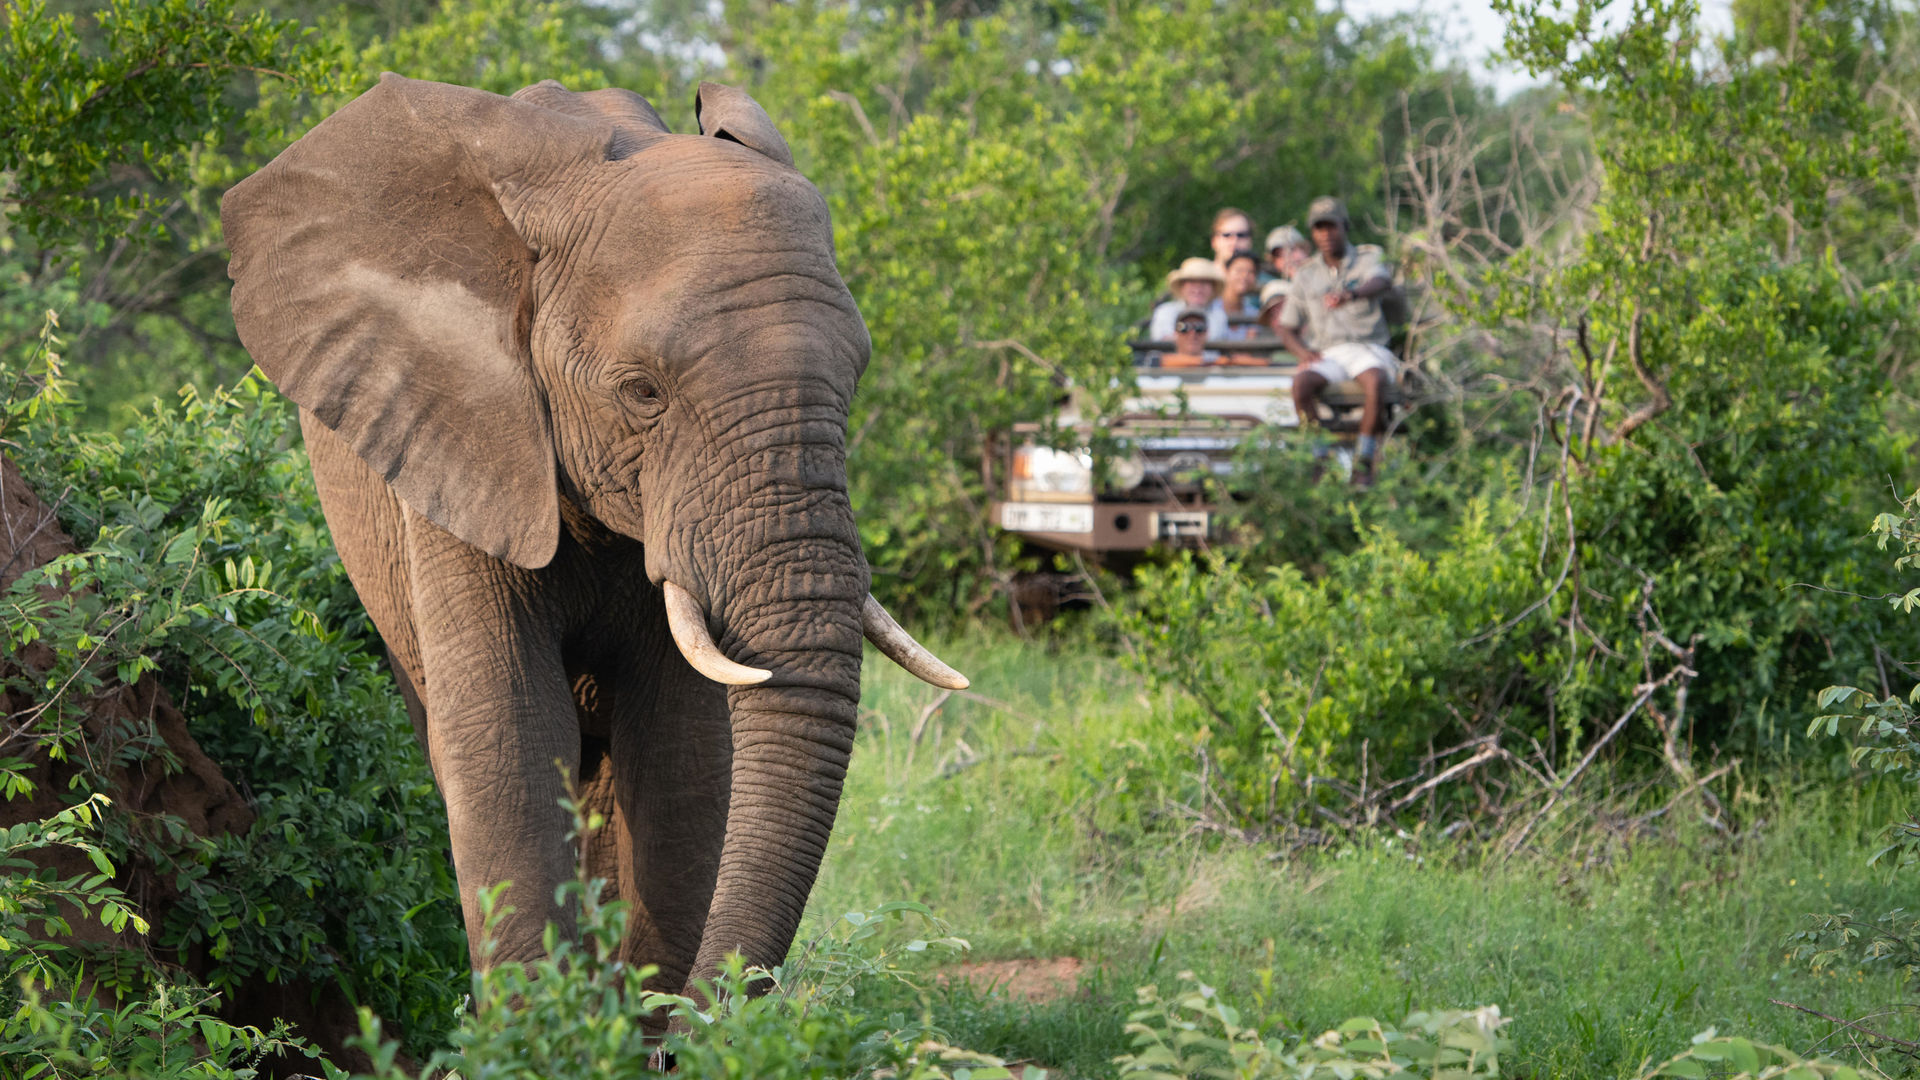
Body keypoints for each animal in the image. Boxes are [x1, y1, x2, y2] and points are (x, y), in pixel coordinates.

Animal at [224, 73, 967, 999]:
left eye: (854, 380)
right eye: (642, 392)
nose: (705, 1010)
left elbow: (682, 766)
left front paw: (631, 1020)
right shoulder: (458, 444)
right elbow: (507, 743)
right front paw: (550, 1025)